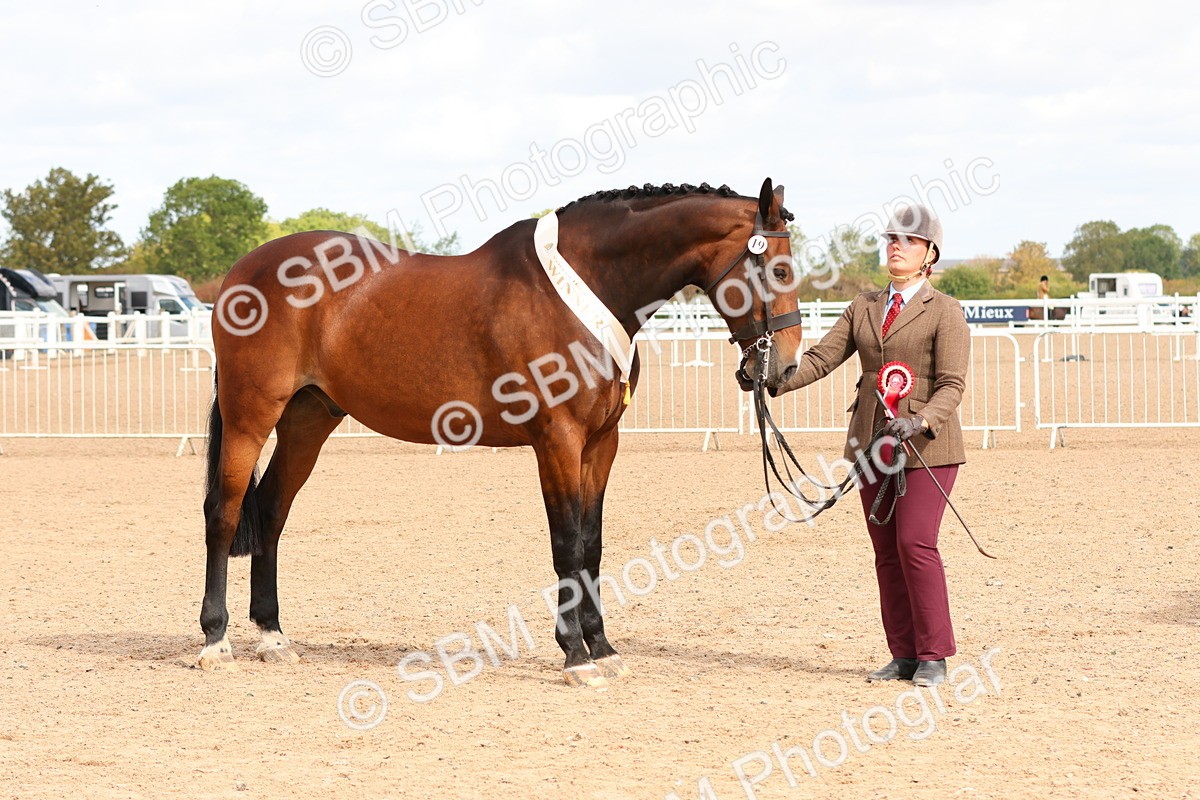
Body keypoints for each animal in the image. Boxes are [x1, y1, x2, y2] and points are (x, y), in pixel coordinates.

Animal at [199, 178, 803, 688]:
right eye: (777, 271)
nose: (786, 367)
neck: (585, 289)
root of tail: (242, 271)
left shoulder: (601, 444)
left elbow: (592, 544)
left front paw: (603, 648)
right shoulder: (557, 441)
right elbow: (567, 543)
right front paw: (576, 656)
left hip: (308, 419)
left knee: (271, 512)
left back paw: (272, 637)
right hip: (250, 415)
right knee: (224, 514)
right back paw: (215, 641)